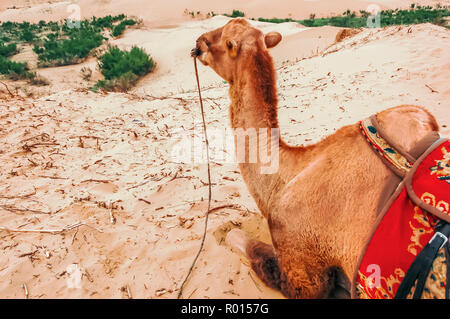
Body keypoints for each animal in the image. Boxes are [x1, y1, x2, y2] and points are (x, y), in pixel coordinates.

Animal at [191, 19, 440, 300]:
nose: (198, 42)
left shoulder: (304, 270)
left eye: (222, 38)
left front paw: (228, 232)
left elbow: (256, 251)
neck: (285, 176)